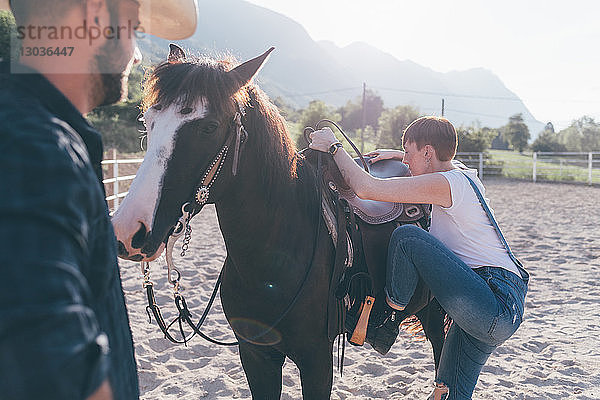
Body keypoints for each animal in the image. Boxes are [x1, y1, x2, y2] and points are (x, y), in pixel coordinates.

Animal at [112, 44, 442, 400]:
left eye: (209, 126)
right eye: (148, 120)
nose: (129, 230)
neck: (274, 257)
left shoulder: (316, 361)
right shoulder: (255, 354)